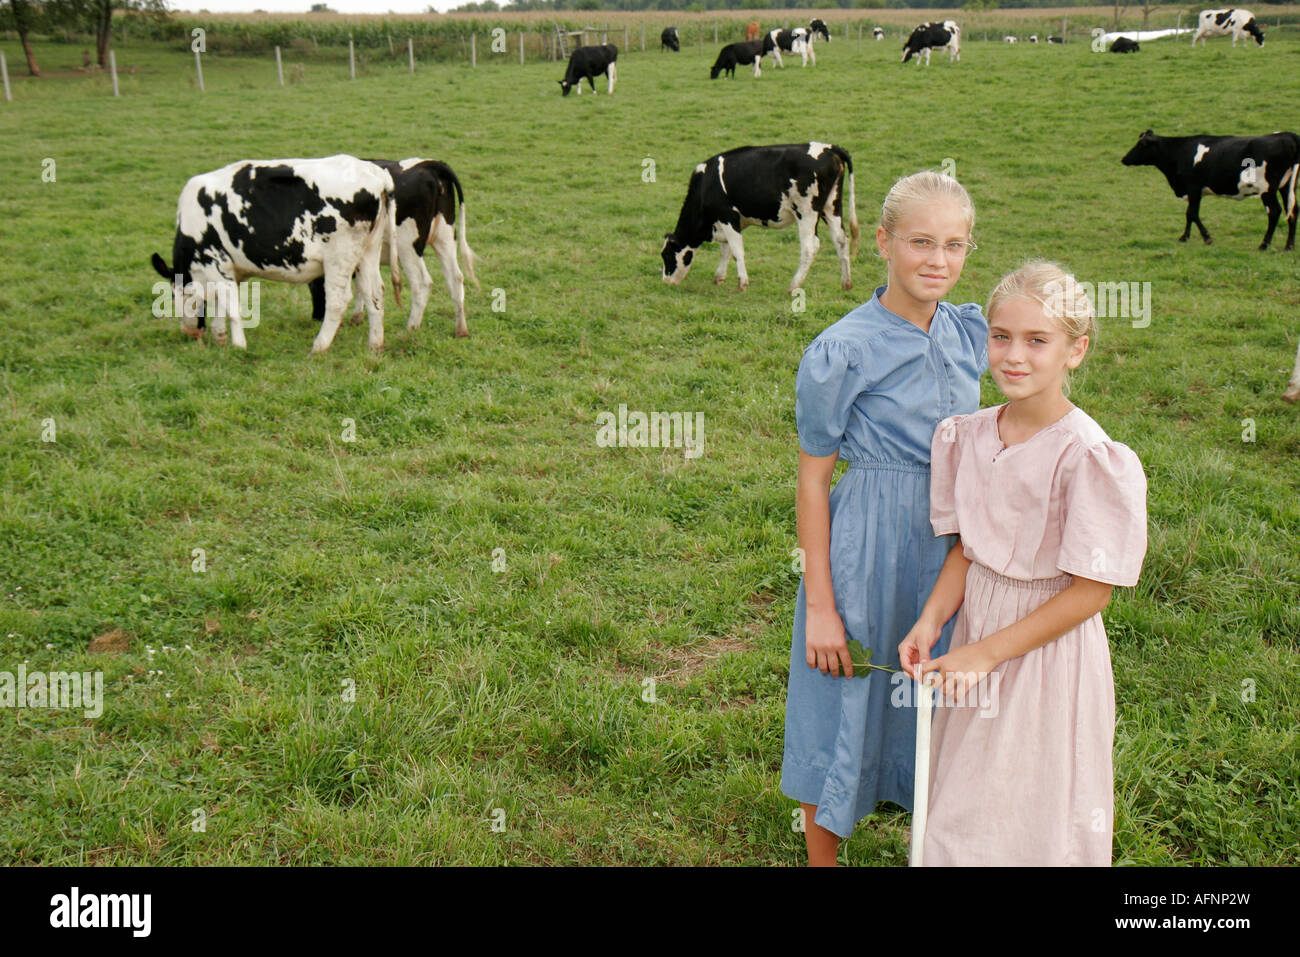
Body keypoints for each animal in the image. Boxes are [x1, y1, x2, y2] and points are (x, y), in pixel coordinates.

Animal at [150, 155, 397, 353]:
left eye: (174, 295)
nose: (189, 332)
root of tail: (374, 172)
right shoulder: (229, 271)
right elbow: (221, 305)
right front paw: (220, 337)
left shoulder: (216, 263)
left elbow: (231, 307)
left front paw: (238, 346)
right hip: (368, 252)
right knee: (374, 292)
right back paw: (374, 345)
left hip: (340, 256)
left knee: (338, 300)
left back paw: (319, 347)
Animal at [306, 162, 480, 343]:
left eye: (313, 285)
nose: (316, 316)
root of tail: (429, 165)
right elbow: (363, 285)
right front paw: (358, 316)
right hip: (445, 238)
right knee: (456, 278)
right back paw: (461, 330)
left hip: (407, 246)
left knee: (422, 282)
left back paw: (411, 328)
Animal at [660, 143, 863, 293]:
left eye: (666, 255)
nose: (665, 282)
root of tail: (829, 148)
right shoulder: (732, 222)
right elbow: (726, 250)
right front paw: (719, 278)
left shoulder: (727, 216)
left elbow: (737, 251)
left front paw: (742, 283)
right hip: (831, 206)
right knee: (841, 240)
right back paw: (846, 283)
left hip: (806, 211)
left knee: (810, 247)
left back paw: (793, 286)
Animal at [1123, 130, 1294, 250]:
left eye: (1141, 145)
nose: (1124, 159)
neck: (1180, 152)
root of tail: (1287, 136)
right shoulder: (1194, 192)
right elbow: (1190, 214)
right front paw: (1186, 237)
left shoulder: (1193, 188)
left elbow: (1191, 213)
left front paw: (1204, 237)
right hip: (1286, 186)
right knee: (1292, 211)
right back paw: (1288, 246)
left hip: (1267, 189)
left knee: (1275, 211)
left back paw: (1264, 245)